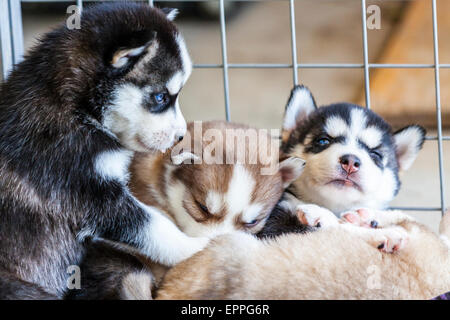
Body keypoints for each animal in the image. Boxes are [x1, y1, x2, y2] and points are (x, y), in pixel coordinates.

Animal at [0, 2, 207, 298]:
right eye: (160, 97)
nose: (180, 135)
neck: (76, 110)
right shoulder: (86, 189)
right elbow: (155, 227)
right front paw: (198, 245)